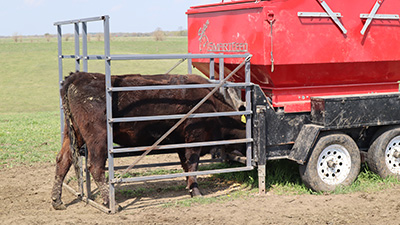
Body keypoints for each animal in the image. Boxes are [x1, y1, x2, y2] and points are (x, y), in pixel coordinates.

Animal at [51, 71, 247, 210]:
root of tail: (80, 76)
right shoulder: (193, 139)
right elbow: (192, 165)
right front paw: (196, 191)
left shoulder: (181, 143)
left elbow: (186, 166)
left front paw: (190, 187)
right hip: (98, 139)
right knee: (95, 166)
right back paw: (110, 202)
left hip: (72, 134)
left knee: (63, 160)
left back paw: (57, 200)